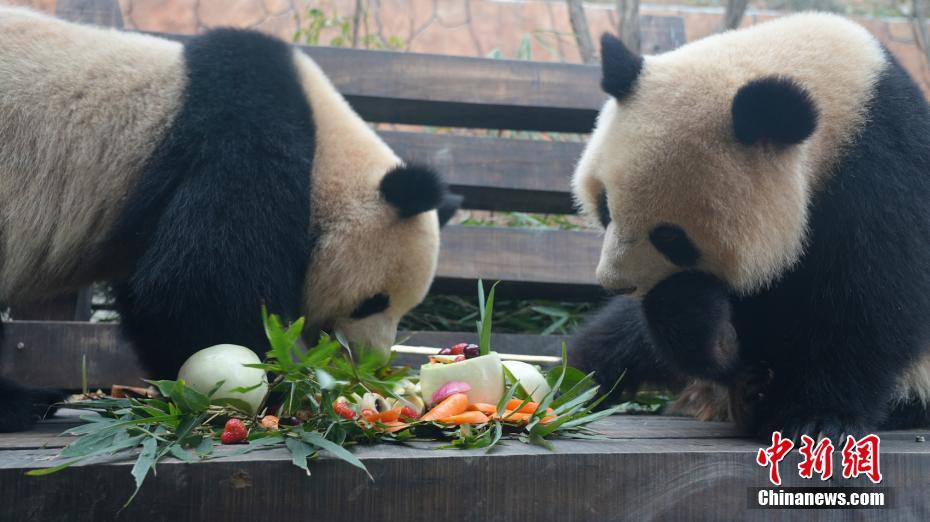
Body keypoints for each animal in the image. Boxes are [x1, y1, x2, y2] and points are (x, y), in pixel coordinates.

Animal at [0, 8, 461, 431]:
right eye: (375, 301)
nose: (372, 359)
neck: (325, 149)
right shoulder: (244, 131)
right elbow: (195, 287)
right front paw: (282, 386)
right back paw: (26, 403)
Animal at [569, 13, 930, 441]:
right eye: (605, 207)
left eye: (670, 236)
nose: (615, 284)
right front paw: (710, 331)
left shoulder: (882, 176)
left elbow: (869, 301)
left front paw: (818, 416)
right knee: (619, 337)